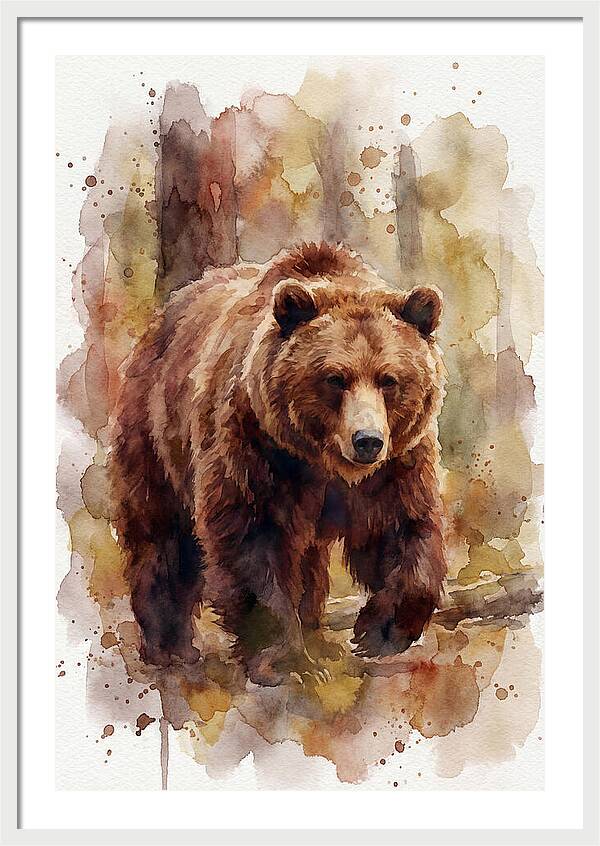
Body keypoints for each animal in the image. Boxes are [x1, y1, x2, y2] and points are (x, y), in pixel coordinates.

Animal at [109, 242, 447, 686]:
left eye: (389, 379)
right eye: (335, 378)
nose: (367, 441)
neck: (322, 461)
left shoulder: (395, 463)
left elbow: (403, 526)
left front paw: (380, 630)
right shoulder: (256, 445)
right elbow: (253, 538)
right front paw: (282, 659)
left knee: (310, 559)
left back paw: (316, 633)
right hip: (156, 429)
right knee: (162, 534)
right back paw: (170, 646)